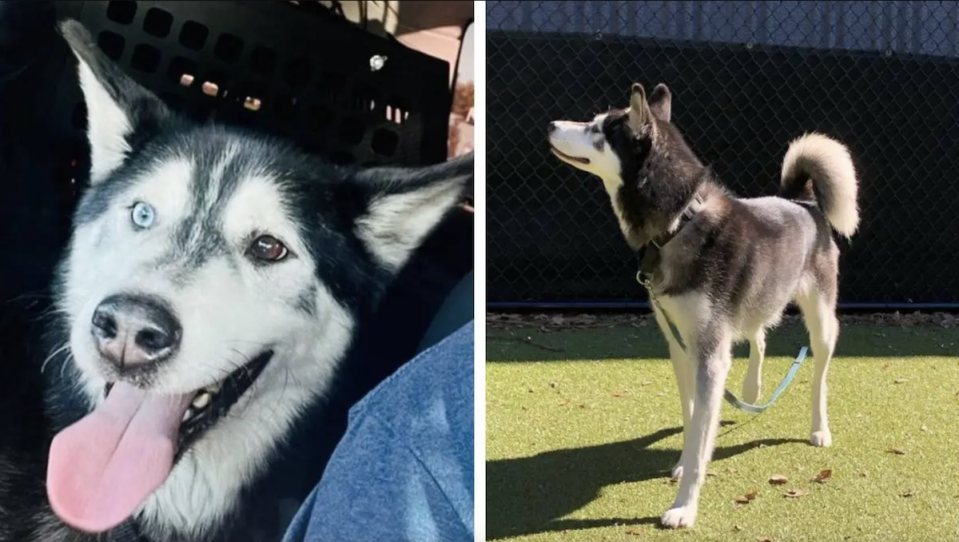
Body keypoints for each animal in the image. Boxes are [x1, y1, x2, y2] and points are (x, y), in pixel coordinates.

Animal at [548, 85, 864, 532]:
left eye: (600, 130)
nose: (550, 124)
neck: (678, 223)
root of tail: (801, 200)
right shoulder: (681, 345)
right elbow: (693, 416)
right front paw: (683, 460)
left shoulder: (709, 353)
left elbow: (702, 435)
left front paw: (684, 505)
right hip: (752, 304)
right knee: (759, 334)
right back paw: (751, 389)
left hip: (819, 319)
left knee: (818, 374)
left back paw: (818, 427)